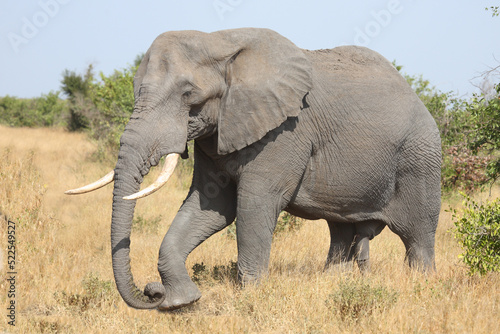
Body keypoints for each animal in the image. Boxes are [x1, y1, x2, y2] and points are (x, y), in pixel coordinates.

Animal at [65, 28, 442, 310]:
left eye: (188, 95)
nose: (150, 292)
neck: (220, 42)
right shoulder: (218, 131)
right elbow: (211, 206)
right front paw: (181, 303)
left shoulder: (284, 131)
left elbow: (254, 205)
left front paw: (251, 298)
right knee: (342, 230)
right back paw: (335, 282)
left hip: (419, 156)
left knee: (417, 234)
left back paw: (420, 286)